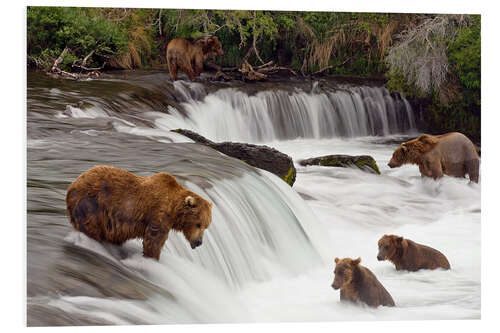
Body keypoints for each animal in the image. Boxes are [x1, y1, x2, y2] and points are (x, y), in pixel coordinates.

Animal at [66, 165, 213, 260]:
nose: (199, 242)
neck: (173, 209)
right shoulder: (158, 215)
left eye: (206, 226)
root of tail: (72, 184)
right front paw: (152, 258)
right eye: (199, 224)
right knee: (91, 225)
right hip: (92, 203)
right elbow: (154, 240)